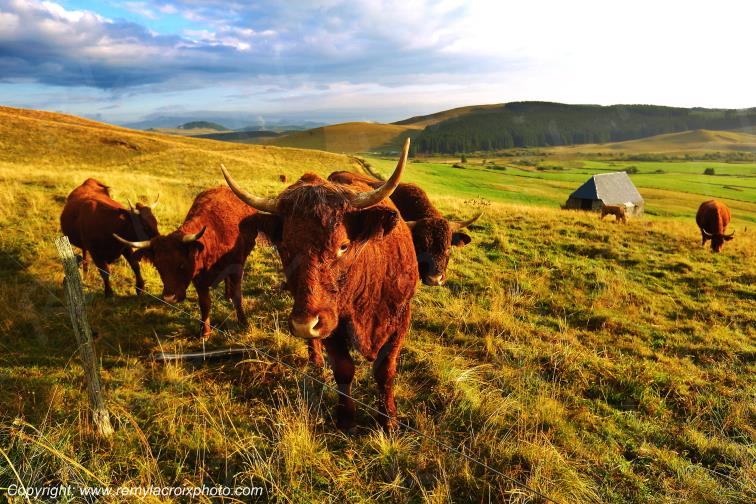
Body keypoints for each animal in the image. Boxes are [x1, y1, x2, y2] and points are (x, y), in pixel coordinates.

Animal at [114, 187, 257, 338]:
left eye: (181, 264)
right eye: (158, 266)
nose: (169, 298)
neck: (213, 238)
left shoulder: (236, 268)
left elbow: (237, 297)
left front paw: (243, 323)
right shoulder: (198, 279)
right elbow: (205, 303)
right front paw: (205, 332)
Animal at [222, 139, 418, 431]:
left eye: (343, 246)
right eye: (284, 247)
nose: (305, 323)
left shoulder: (400, 320)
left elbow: (385, 371)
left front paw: (388, 420)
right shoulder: (331, 325)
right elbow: (344, 368)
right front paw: (346, 418)